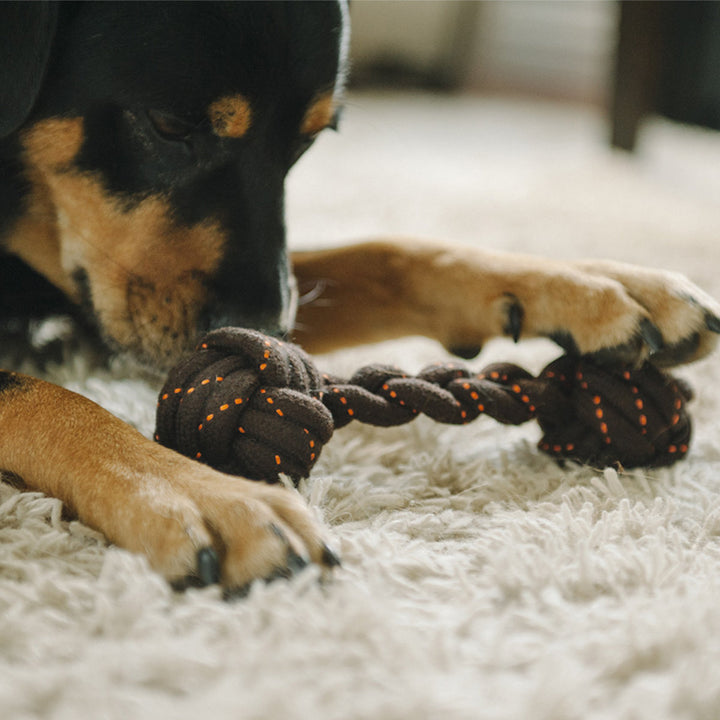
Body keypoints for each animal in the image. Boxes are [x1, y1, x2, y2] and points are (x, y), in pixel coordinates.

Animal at [1, 1, 720, 592]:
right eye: (169, 124)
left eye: (309, 141)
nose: (266, 334)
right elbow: (42, 395)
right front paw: (201, 494)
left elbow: (387, 251)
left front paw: (600, 284)